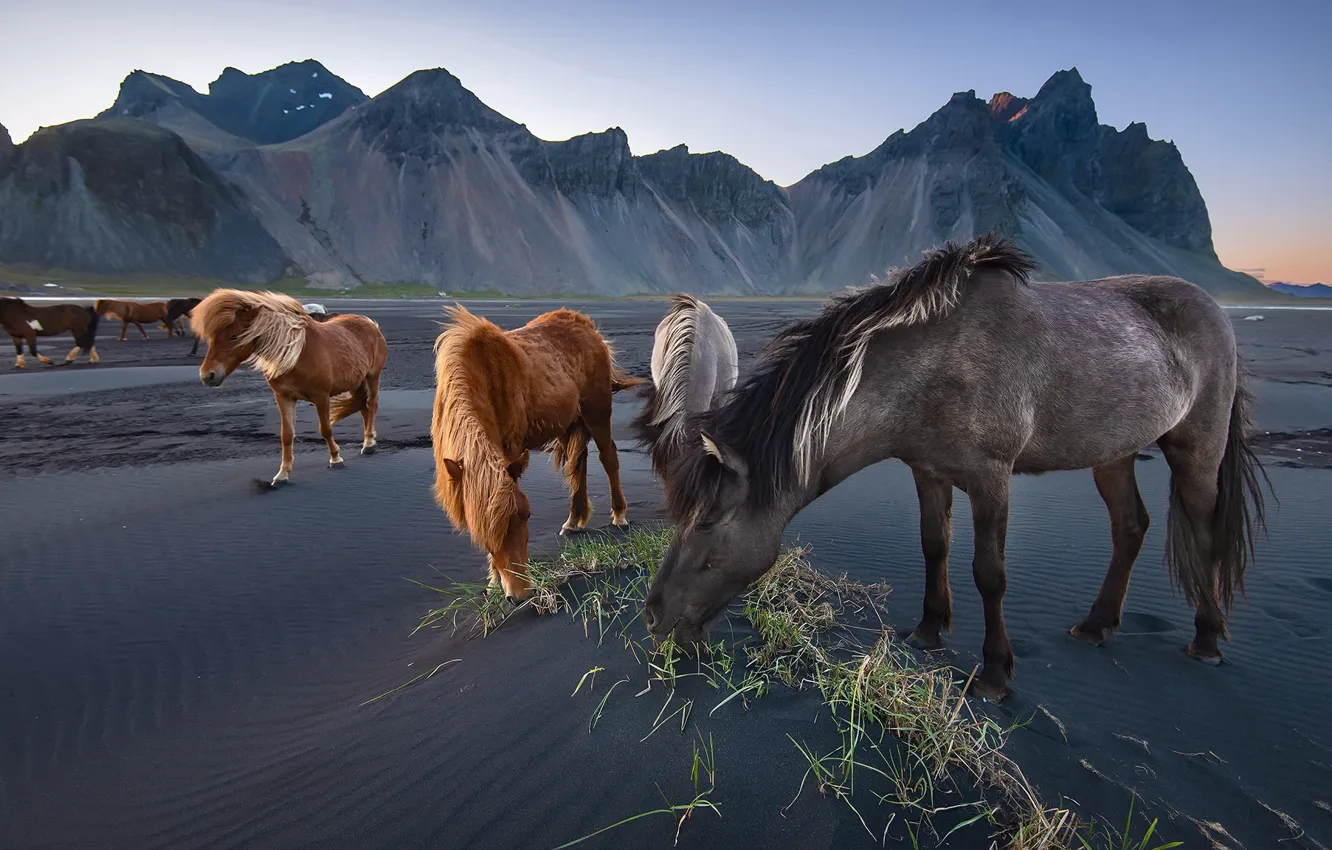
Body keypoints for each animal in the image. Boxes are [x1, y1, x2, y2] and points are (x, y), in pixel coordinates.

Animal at [192, 290, 388, 488]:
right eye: (211, 338)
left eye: (233, 336)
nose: (208, 375)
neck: (295, 355)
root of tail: (370, 323)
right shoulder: (284, 397)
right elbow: (286, 435)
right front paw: (282, 474)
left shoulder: (321, 397)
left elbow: (325, 429)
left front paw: (335, 458)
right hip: (356, 382)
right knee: (363, 408)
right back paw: (368, 441)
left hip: (372, 376)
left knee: (371, 405)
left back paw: (369, 444)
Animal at [431, 305, 644, 602]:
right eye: (481, 531)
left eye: (528, 515)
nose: (520, 594)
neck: (482, 376)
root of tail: (588, 328)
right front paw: (494, 581)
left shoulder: (510, 451)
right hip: (572, 421)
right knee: (579, 465)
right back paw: (574, 520)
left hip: (597, 412)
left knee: (608, 458)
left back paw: (619, 515)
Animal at [643, 234, 1269, 702]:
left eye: (707, 525)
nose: (654, 617)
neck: (936, 365)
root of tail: (1213, 309)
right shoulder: (927, 471)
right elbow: (933, 545)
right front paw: (928, 629)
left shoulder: (991, 480)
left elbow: (989, 573)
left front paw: (994, 673)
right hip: (1113, 453)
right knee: (1130, 526)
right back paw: (1096, 625)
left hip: (1197, 449)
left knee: (1204, 530)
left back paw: (1207, 640)